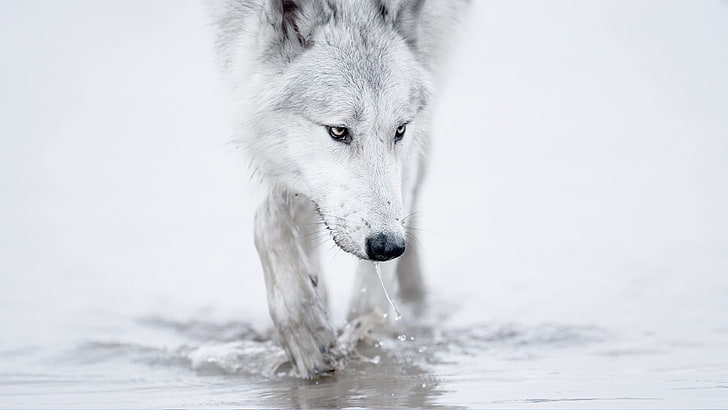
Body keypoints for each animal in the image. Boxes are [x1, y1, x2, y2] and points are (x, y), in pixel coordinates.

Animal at [208, 0, 470, 378]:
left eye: (400, 130)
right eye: (338, 131)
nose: (388, 246)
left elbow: (371, 292)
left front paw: (364, 335)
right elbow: (269, 220)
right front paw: (305, 327)